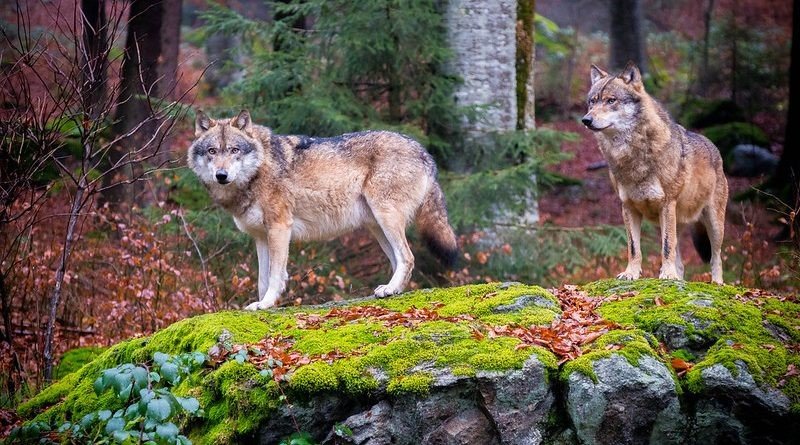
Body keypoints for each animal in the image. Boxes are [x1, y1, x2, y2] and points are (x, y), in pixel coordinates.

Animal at [187, 110, 458, 310]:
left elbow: (275, 276)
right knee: (400, 261)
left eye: (234, 150)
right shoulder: (260, 237)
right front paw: (261, 304)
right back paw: (392, 290)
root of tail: (425, 153)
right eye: (212, 151)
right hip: (378, 227)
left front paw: (266, 304)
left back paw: (390, 289)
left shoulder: (279, 228)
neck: (257, 171)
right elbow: (262, 279)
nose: (221, 175)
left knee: (408, 257)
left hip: (386, 218)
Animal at [581, 62, 728, 284]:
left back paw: (716, 283)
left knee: (716, 257)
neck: (633, 156)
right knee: (681, 262)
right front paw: (631, 273)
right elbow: (633, 247)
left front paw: (667, 275)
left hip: (713, 223)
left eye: (611, 100)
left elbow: (666, 247)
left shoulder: (667, 204)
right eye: (593, 101)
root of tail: (714, 147)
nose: (586, 120)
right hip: (675, 222)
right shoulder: (628, 208)